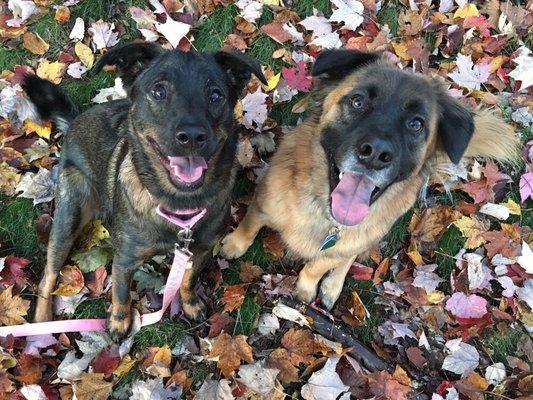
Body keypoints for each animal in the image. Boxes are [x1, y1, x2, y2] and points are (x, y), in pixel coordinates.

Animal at [24, 42, 266, 340]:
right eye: (159, 91)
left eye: (216, 95)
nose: (192, 136)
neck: (179, 203)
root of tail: (75, 122)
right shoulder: (124, 260)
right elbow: (121, 293)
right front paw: (119, 322)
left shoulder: (201, 250)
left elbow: (188, 279)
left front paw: (190, 303)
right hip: (70, 215)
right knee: (49, 273)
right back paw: (42, 324)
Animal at [219, 49, 516, 310]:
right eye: (358, 101)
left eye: (416, 124)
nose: (375, 153)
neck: (326, 216)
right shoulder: (262, 204)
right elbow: (249, 225)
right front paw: (233, 245)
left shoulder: (336, 248)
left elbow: (319, 264)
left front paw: (307, 287)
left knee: (347, 258)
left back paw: (332, 287)